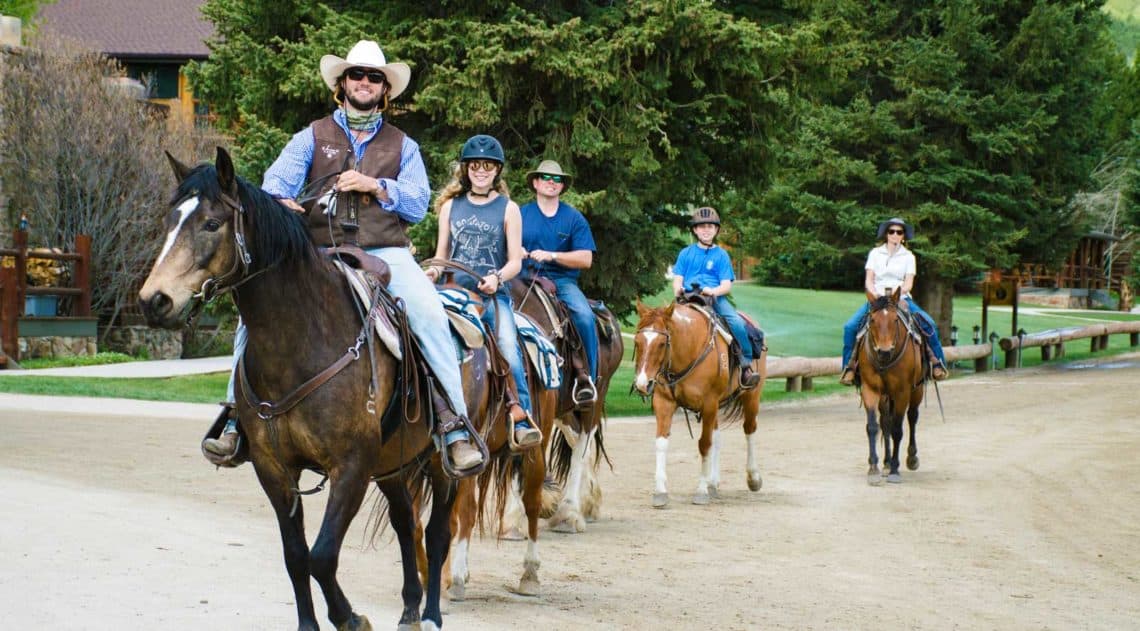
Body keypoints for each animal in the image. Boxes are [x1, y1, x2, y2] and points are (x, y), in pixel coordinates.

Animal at [135, 148, 451, 628]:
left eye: (212, 224)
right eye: (170, 221)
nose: (154, 300)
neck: (302, 340)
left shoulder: (351, 467)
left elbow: (322, 556)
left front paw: (351, 618)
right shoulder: (274, 468)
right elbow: (296, 556)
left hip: (443, 467)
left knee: (436, 533)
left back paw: (430, 612)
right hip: (394, 466)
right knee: (405, 522)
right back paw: (411, 608)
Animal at [513, 277, 629, 528]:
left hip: (593, 400)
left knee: (582, 444)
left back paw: (570, 512)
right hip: (564, 410)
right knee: (575, 438)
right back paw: (588, 500)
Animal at [633, 298, 766, 505]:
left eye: (662, 343)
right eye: (637, 342)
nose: (642, 383)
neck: (689, 349)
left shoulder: (709, 403)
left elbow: (704, 444)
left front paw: (701, 491)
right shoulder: (664, 402)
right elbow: (661, 443)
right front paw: (660, 492)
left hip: (751, 396)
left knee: (749, 430)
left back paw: (753, 478)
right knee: (717, 437)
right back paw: (713, 483)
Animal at [857, 287, 925, 482]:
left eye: (895, 320)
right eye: (872, 320)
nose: (884, 351)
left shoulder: (903, 392)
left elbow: (897, 430)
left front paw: (895, 470)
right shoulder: (870, 389)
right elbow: (873, 427)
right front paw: (873, 467)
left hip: (917, 390)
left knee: (912, 417)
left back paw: (911, 458)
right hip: (886, 396)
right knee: (885, 422)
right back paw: (886, 462)